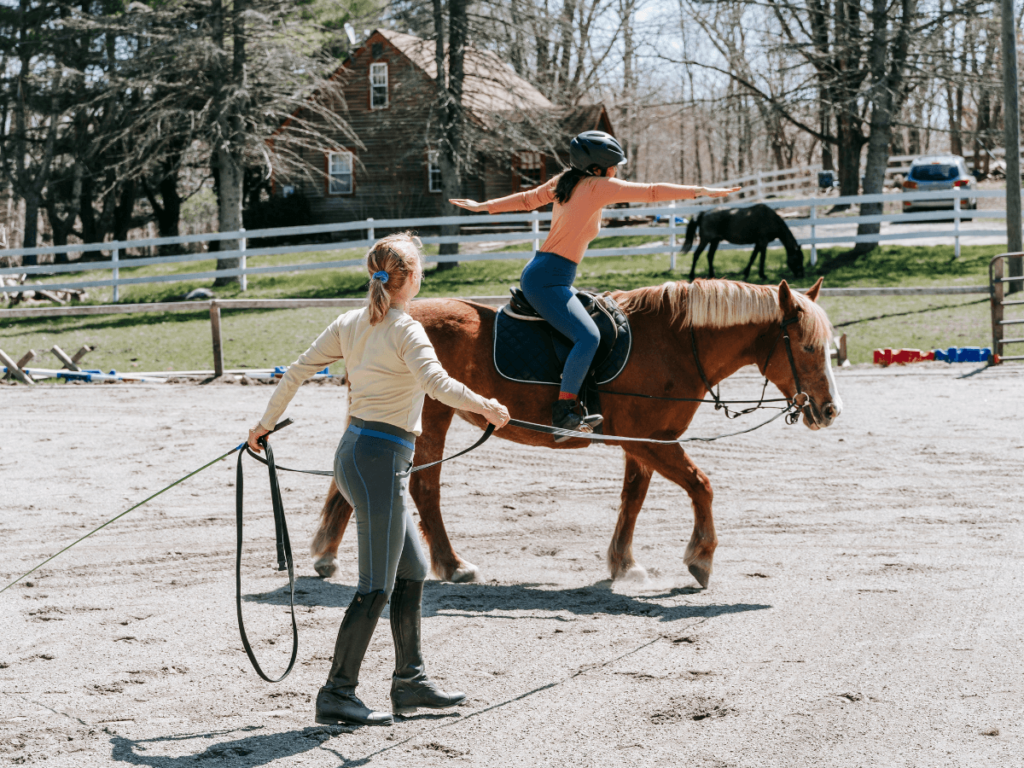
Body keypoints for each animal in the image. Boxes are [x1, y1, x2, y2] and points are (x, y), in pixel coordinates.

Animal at [303, 278, 839, 589]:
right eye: (808, 347)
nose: (829, 410)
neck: (669, 342)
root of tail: (379, 319)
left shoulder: (643, 445)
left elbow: (632, 499)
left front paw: (623, 563)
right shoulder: (652, 442)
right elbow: (701, 486)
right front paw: (700, 558)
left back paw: (329, 555)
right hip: (430, 417)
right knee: (423, 488)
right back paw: (452, 564)